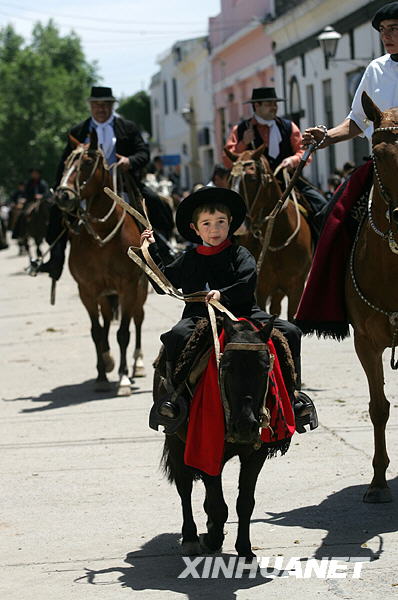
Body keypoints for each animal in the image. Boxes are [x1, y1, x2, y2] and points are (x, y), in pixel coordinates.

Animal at [54, 131, 148, 394]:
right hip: (105, 294)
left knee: (138, 318)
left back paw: (137, 364)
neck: (104, 235)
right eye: (66, 163)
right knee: (106, 321)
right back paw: (107, 361)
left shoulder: (128, 286)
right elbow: (96, 332)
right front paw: (102, 376)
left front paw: (124, 378)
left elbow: (124, 332)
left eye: (87, 163)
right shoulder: (87, 289)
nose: (63, 195)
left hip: (140, 290)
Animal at [158, 316, 292, 560]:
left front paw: (245, 548)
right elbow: (219, 506)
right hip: (176, 442)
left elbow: (245, 503)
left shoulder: (255, 455)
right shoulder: (206, 449)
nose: (245, 426)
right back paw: (191, 538)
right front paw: (212, 539)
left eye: (265, 368)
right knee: (185, 488)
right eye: (227, 367)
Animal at [224, 146, 314, 322]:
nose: (237, 225)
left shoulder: (296, 288)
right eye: (230, 180)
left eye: (252, 178)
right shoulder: (261, 288)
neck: (277, 237)